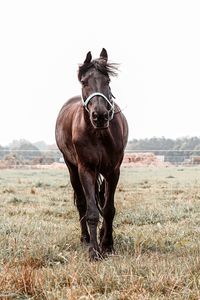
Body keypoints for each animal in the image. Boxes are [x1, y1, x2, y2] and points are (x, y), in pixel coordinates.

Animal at [55, 49, 129, 260]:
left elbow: (108, 208)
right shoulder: (86, 169)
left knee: (102, 199)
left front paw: (108, 244)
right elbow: (92, 211)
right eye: (84, 82)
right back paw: (85, 238)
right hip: (72, 168)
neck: (99, 133)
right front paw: (94, 251)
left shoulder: (113, 170)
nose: (100, 115)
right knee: (82, 203)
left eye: (108, 80)